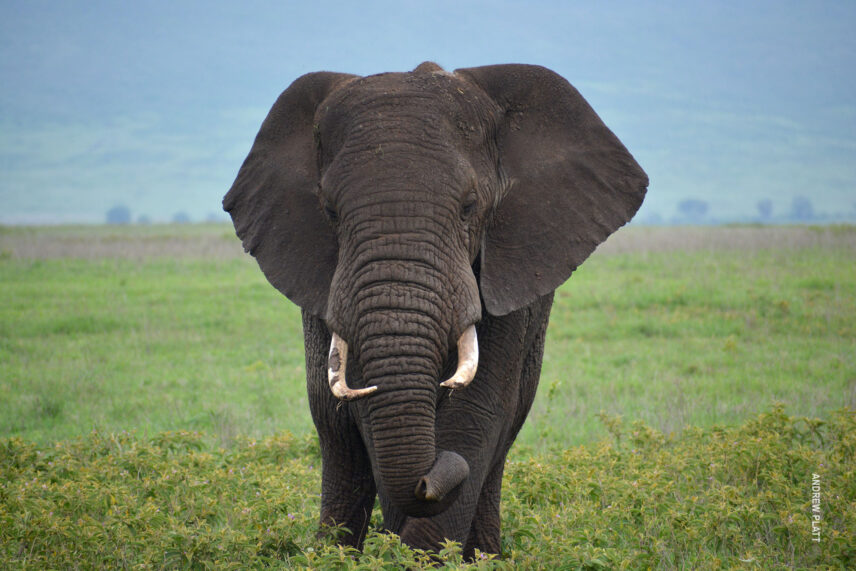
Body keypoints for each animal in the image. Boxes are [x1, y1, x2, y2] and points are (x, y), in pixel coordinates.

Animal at [223, 62, 647, 558]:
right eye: (329, 211)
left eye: (469, 206)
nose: (430, 476)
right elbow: (363, 410)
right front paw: (396, 555)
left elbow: (477, 413)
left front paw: (419, 556)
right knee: (337, 437)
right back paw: (335, 553)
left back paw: (484, 556)